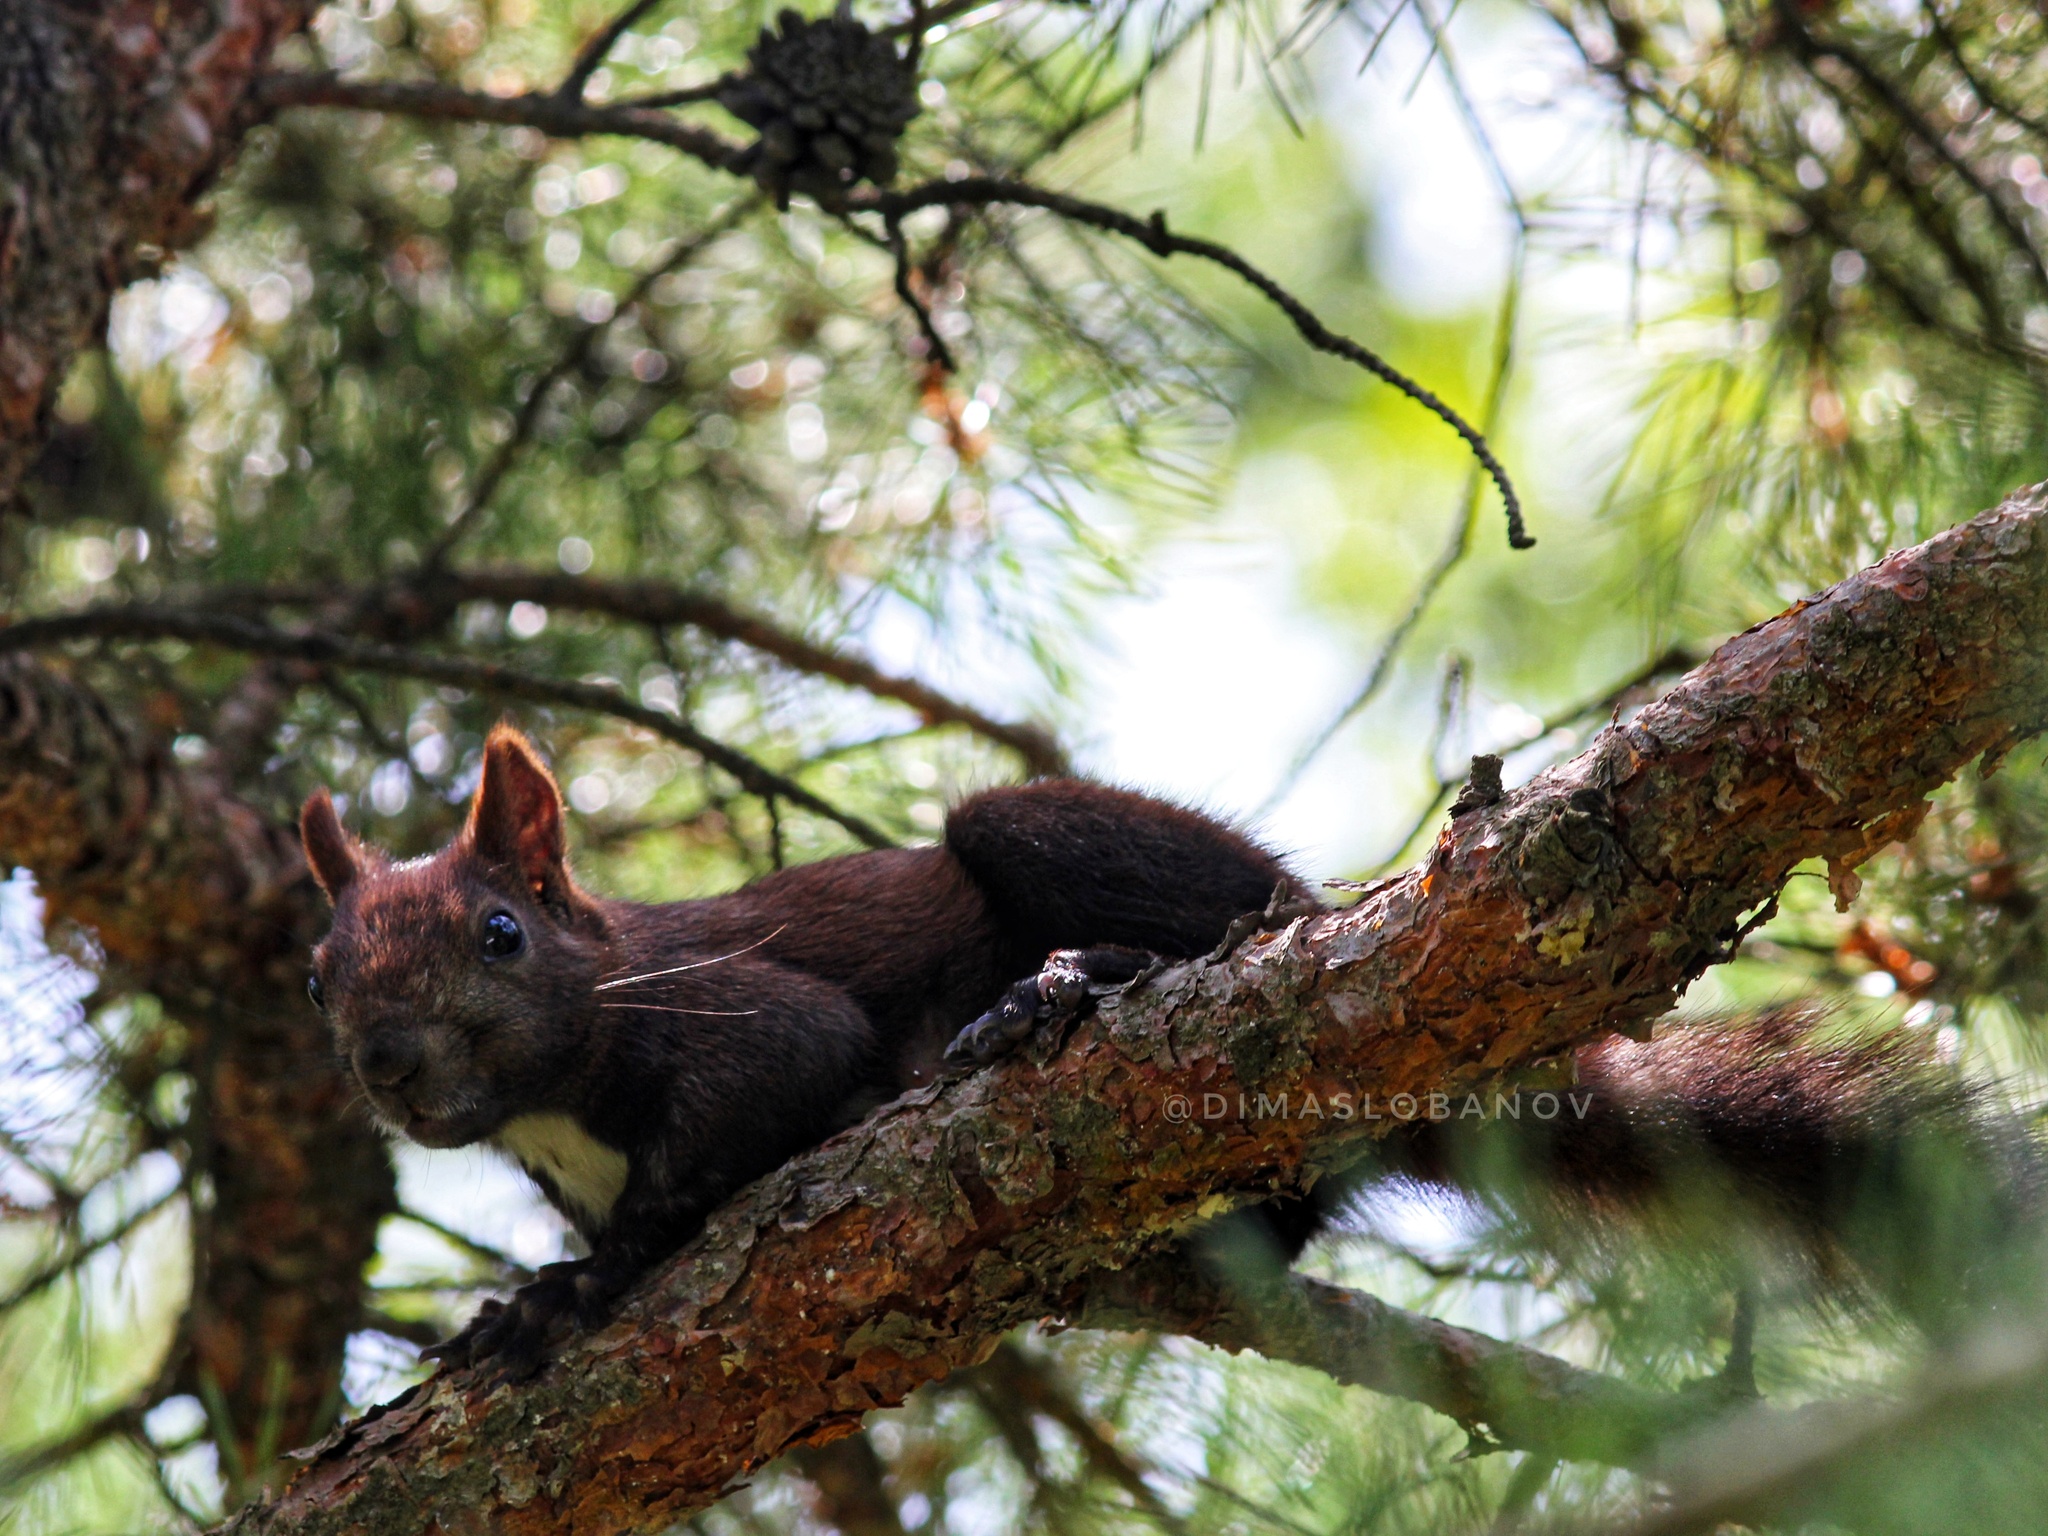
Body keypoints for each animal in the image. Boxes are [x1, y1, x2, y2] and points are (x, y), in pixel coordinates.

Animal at [299, 729, 2031, 1376]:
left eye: (500, 936)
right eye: (318, 974)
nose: (391, 1066)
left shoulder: (740, 1014)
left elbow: (732, 1131)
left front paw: (581, 1288)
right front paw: (527, 1291)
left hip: (1062, 843)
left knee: (1225, 937)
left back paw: (1077, 988)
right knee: (1300, 1203)